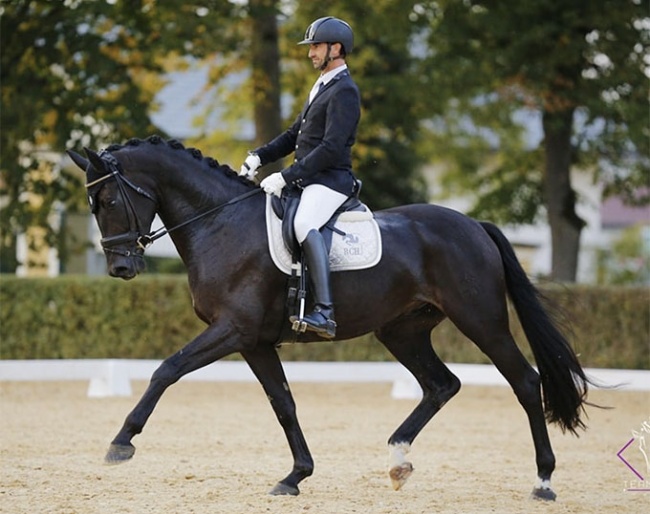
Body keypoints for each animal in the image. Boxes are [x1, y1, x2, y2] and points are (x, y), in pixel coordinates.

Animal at [68, 137, 588, 500]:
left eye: (109, 202)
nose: (121, 269)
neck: (220, 223)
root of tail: (473, 224)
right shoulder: (254, 341)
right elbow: (283, 403)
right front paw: (296, 476)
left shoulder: (232, 330)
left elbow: (167, 369)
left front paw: (121, 442)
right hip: (402, 330)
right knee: (441, 384)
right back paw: (398, 460)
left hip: (481, 320)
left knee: (525, 382)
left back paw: (543, 481)